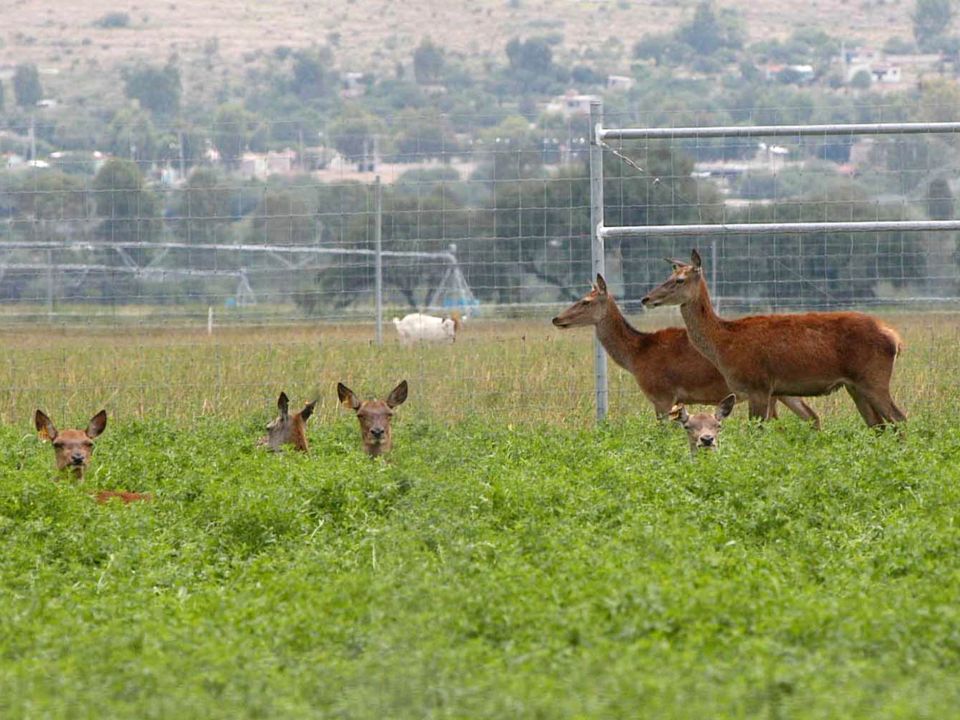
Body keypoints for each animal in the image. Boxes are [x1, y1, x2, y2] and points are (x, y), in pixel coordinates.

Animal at [552, 272, 820, 424]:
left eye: (585, 301)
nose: (556, 318)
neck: (637, 355)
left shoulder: (662, 394)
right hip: (785, 388)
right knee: (811, 416)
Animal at [640, 249, 904, 428]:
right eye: (668, 276)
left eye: (679, 280)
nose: (646, 298)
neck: (723, 343)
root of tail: (895, 338)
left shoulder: (758, 385)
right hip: (855, 385)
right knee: (879, 425)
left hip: (874, 378)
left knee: (899, 418)